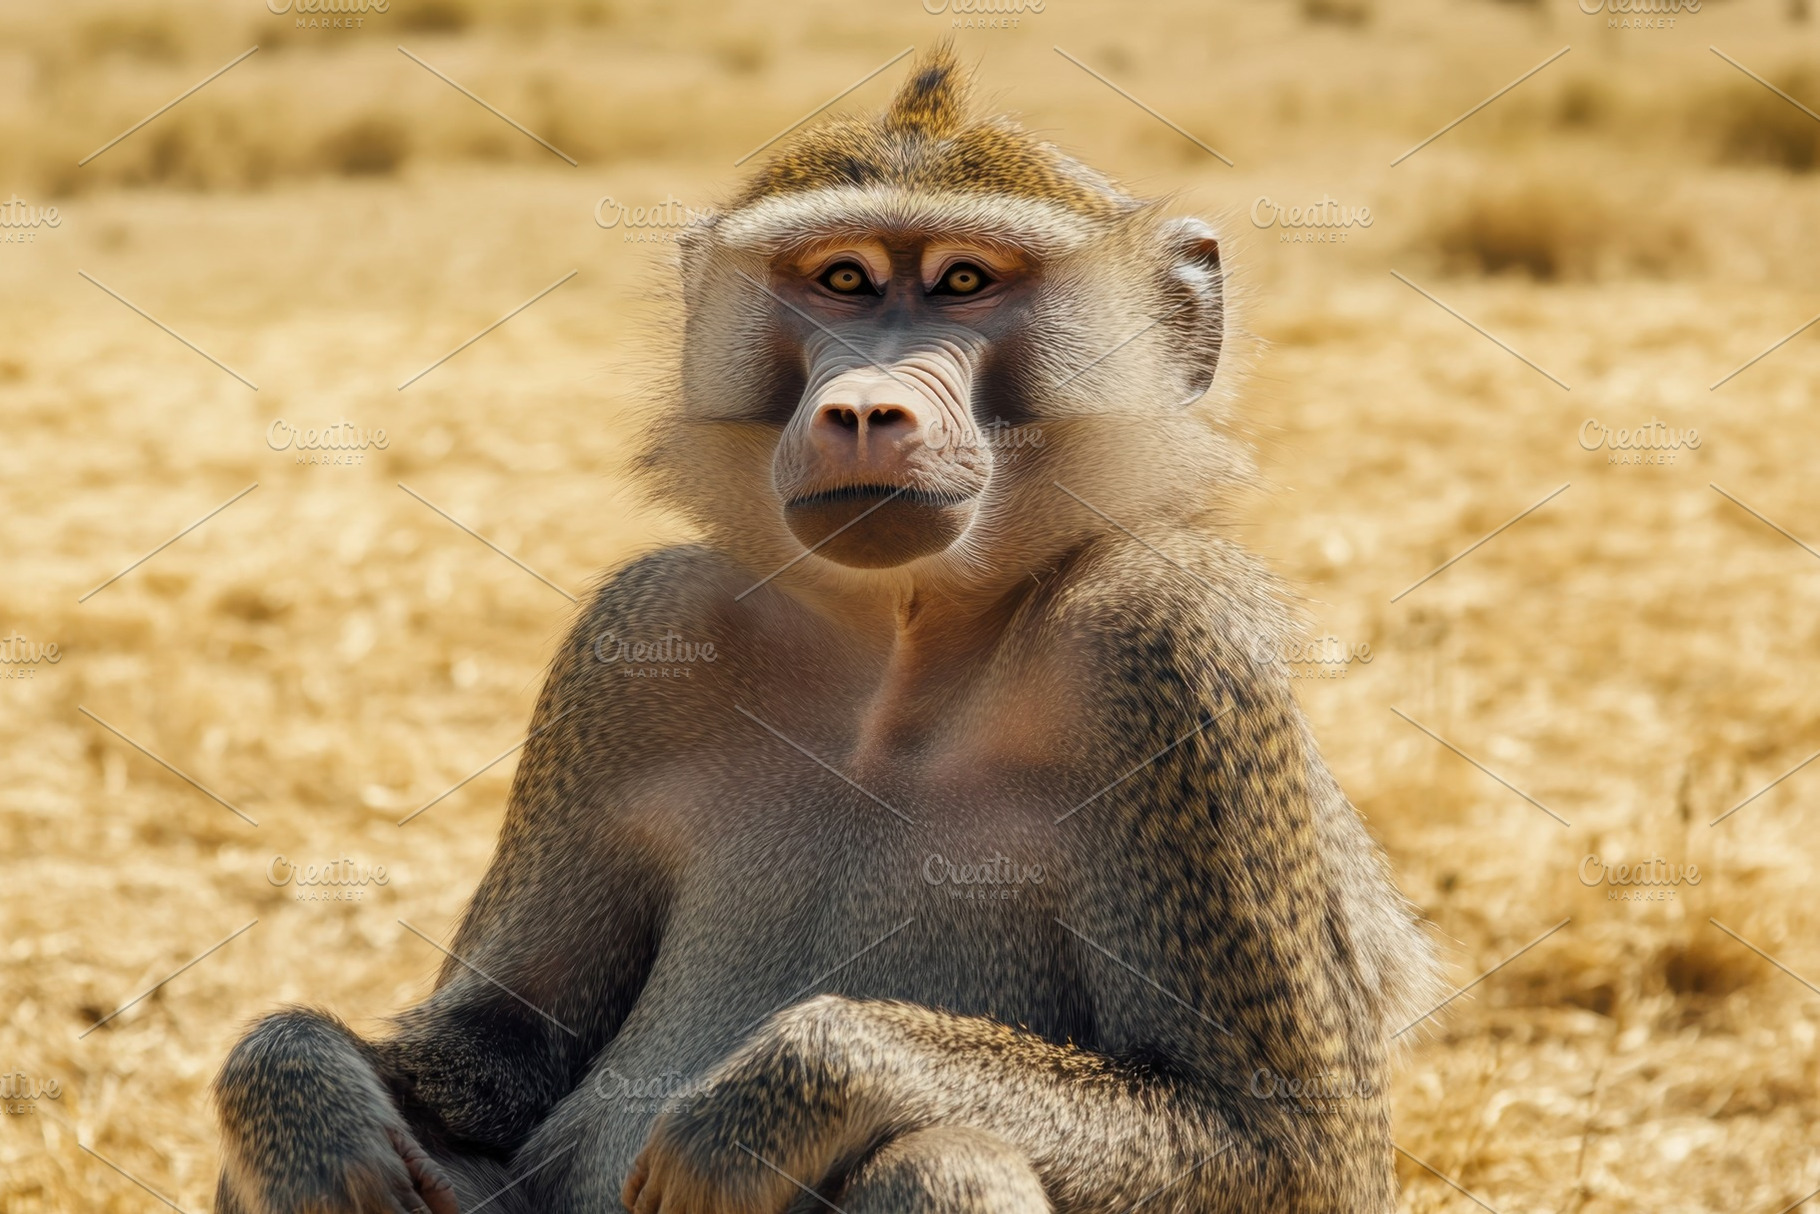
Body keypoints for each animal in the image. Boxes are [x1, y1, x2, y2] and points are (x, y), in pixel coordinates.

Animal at [213, 43, 1438, 1214]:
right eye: (842, 279)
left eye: (962, 281)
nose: (862, 409)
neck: (896, 656)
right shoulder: (633, 635)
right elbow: (503, 1044)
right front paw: (299, 1080)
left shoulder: (1171, 647)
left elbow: (1284, 1145)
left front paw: (791, 1089)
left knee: (946, 1158)